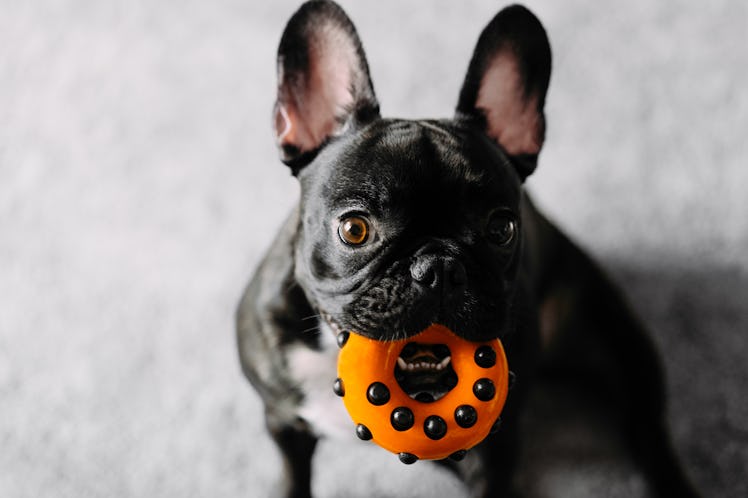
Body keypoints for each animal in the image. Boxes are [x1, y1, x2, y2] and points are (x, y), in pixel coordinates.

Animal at [237, 1, 700, 496]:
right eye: (354, 229)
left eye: (502, 229)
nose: (438, 266)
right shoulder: (283, 423)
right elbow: (292, 478)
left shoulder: (494, 452)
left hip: (620, 342)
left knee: (647, 425)